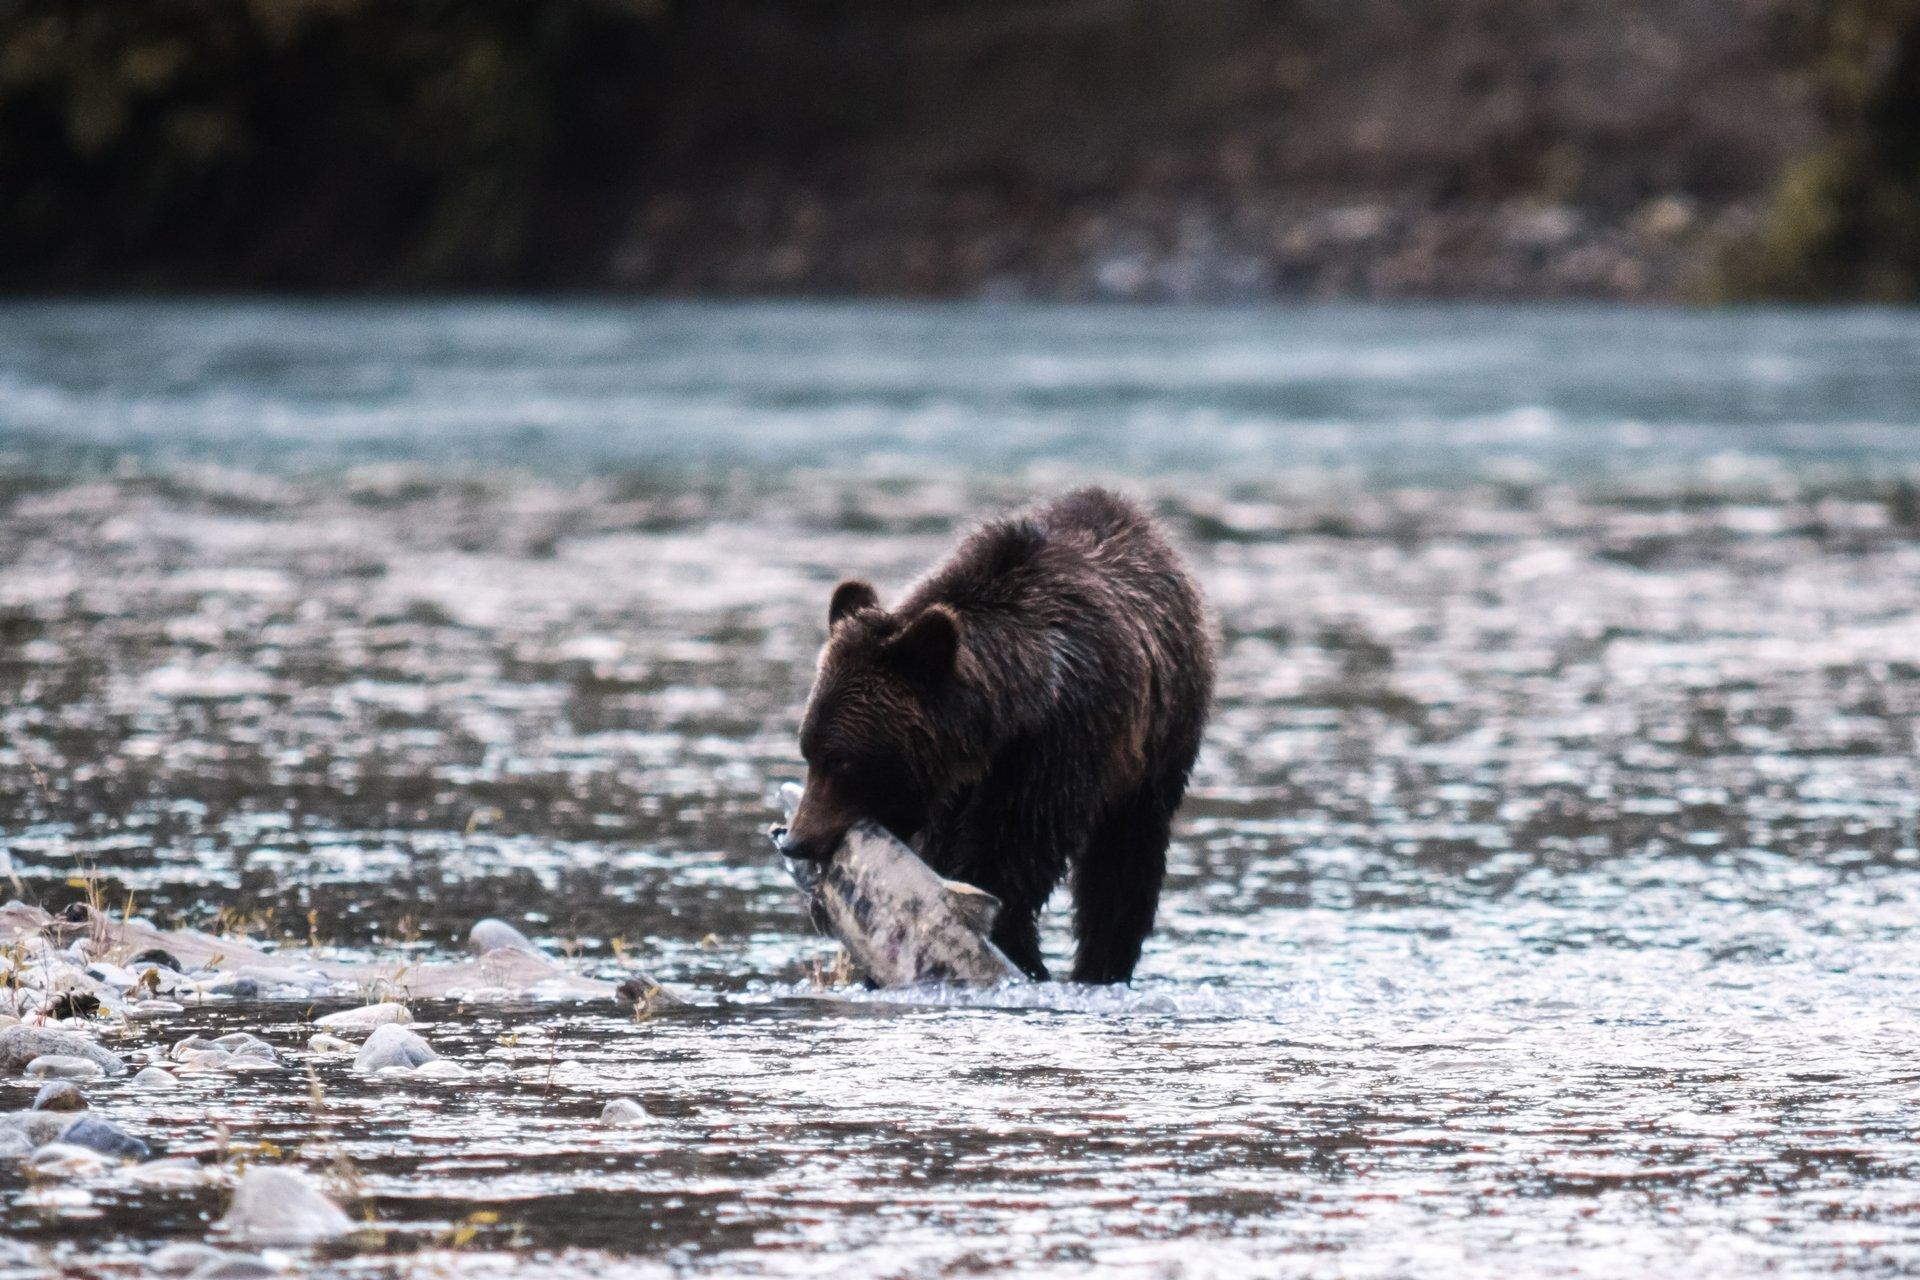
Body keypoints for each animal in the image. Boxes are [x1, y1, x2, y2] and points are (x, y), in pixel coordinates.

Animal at [783, 487, 1213, 982]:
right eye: (808, 750)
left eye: (843, 760)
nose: (796, 842)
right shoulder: (944, 786)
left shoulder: (1062, 742)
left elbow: (1014, 851)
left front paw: (1016, 949)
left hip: (1157, 747)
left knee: (1125, 862)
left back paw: (1102, 963)